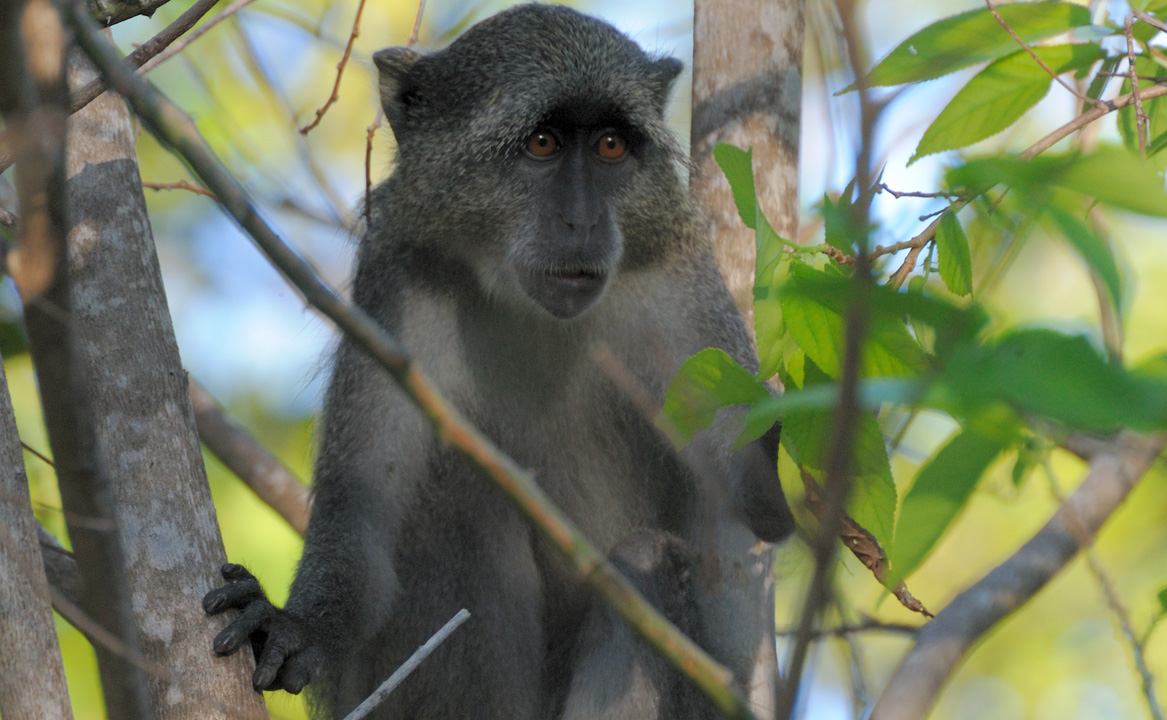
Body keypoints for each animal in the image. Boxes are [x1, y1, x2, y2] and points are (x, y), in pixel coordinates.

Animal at [203, 5, 794, 719]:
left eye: (611, 146)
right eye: (541, 143)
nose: (581, 222)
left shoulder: (679, 290)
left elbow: (753, 505)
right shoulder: (400, 285)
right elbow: (363, 509)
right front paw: (298, 625)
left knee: (647, 562)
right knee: (457, 498)